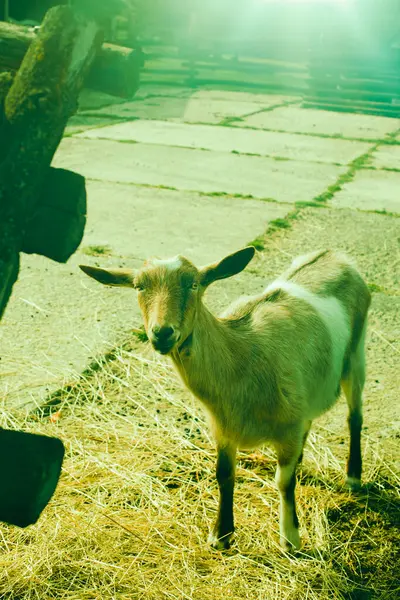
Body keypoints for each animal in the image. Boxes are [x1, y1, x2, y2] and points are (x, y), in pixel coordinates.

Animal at [79, 246, 370, 552]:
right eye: (139, 286)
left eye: (193, 284)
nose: (162, 333)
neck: (242, 358)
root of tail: (334, 255)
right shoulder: (223, 429)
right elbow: (224, 475)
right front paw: (221, 535)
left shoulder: (288, 428)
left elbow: (283, 482)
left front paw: (290, 538)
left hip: (356, 355)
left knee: (354, 416)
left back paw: (353, 476)